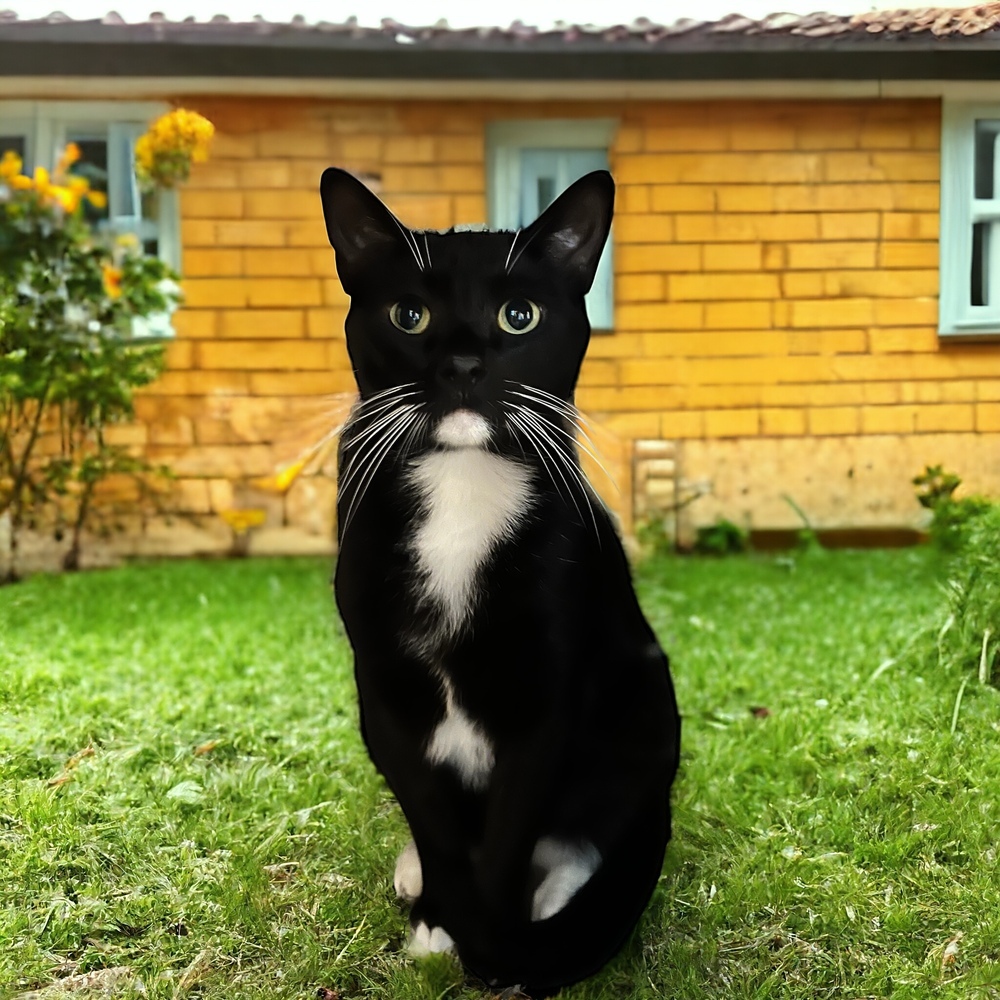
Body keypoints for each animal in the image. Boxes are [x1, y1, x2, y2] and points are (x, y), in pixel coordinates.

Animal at [318, 166, 680, 992]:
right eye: (409, 314)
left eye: (520, 316)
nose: (462, 364)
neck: (461, 484)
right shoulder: (383, 690)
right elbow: (428, 811)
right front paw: (438, 923)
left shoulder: (544, 693)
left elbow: (513, 830)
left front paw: (496, 939)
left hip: (642, 701)